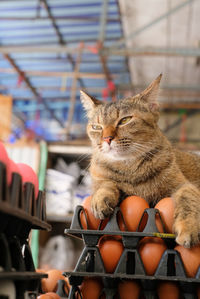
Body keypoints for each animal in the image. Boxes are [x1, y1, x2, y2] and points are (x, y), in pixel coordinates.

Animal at [80, 75, 200, 248]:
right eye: (96, 127)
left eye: (125, 120)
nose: (107, 139)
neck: (129, 168)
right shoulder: (98, 178)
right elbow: (105, 184)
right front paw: (101, 197)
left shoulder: (184, 185)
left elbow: (188, 198)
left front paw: (188, 227)